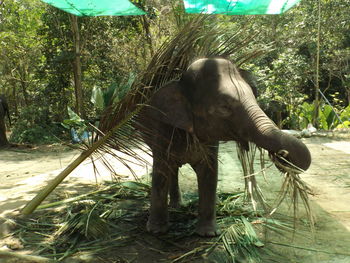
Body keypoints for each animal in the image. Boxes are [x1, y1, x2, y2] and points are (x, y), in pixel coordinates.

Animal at [138, 57, 310, 237]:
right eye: (224, 107)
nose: (283, 155)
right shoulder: (162, 130)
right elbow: (160, 172)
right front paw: (156, 231)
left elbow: (209, 173)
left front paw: (208, 233)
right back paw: (176, 207)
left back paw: (182, 205)